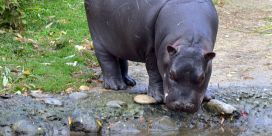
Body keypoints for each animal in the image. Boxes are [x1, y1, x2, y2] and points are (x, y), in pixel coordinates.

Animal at [85, 0, 219, 112]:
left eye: (202, 78)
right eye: (171, 74)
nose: (183, 105)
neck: (189, 40)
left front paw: (208, 96)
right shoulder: (152, 50)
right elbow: (154, 72)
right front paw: (158, 97)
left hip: (120, 42)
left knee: (121, 59)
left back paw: (129, 82)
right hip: (99, 39)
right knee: (107, 61)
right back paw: (116, 86)